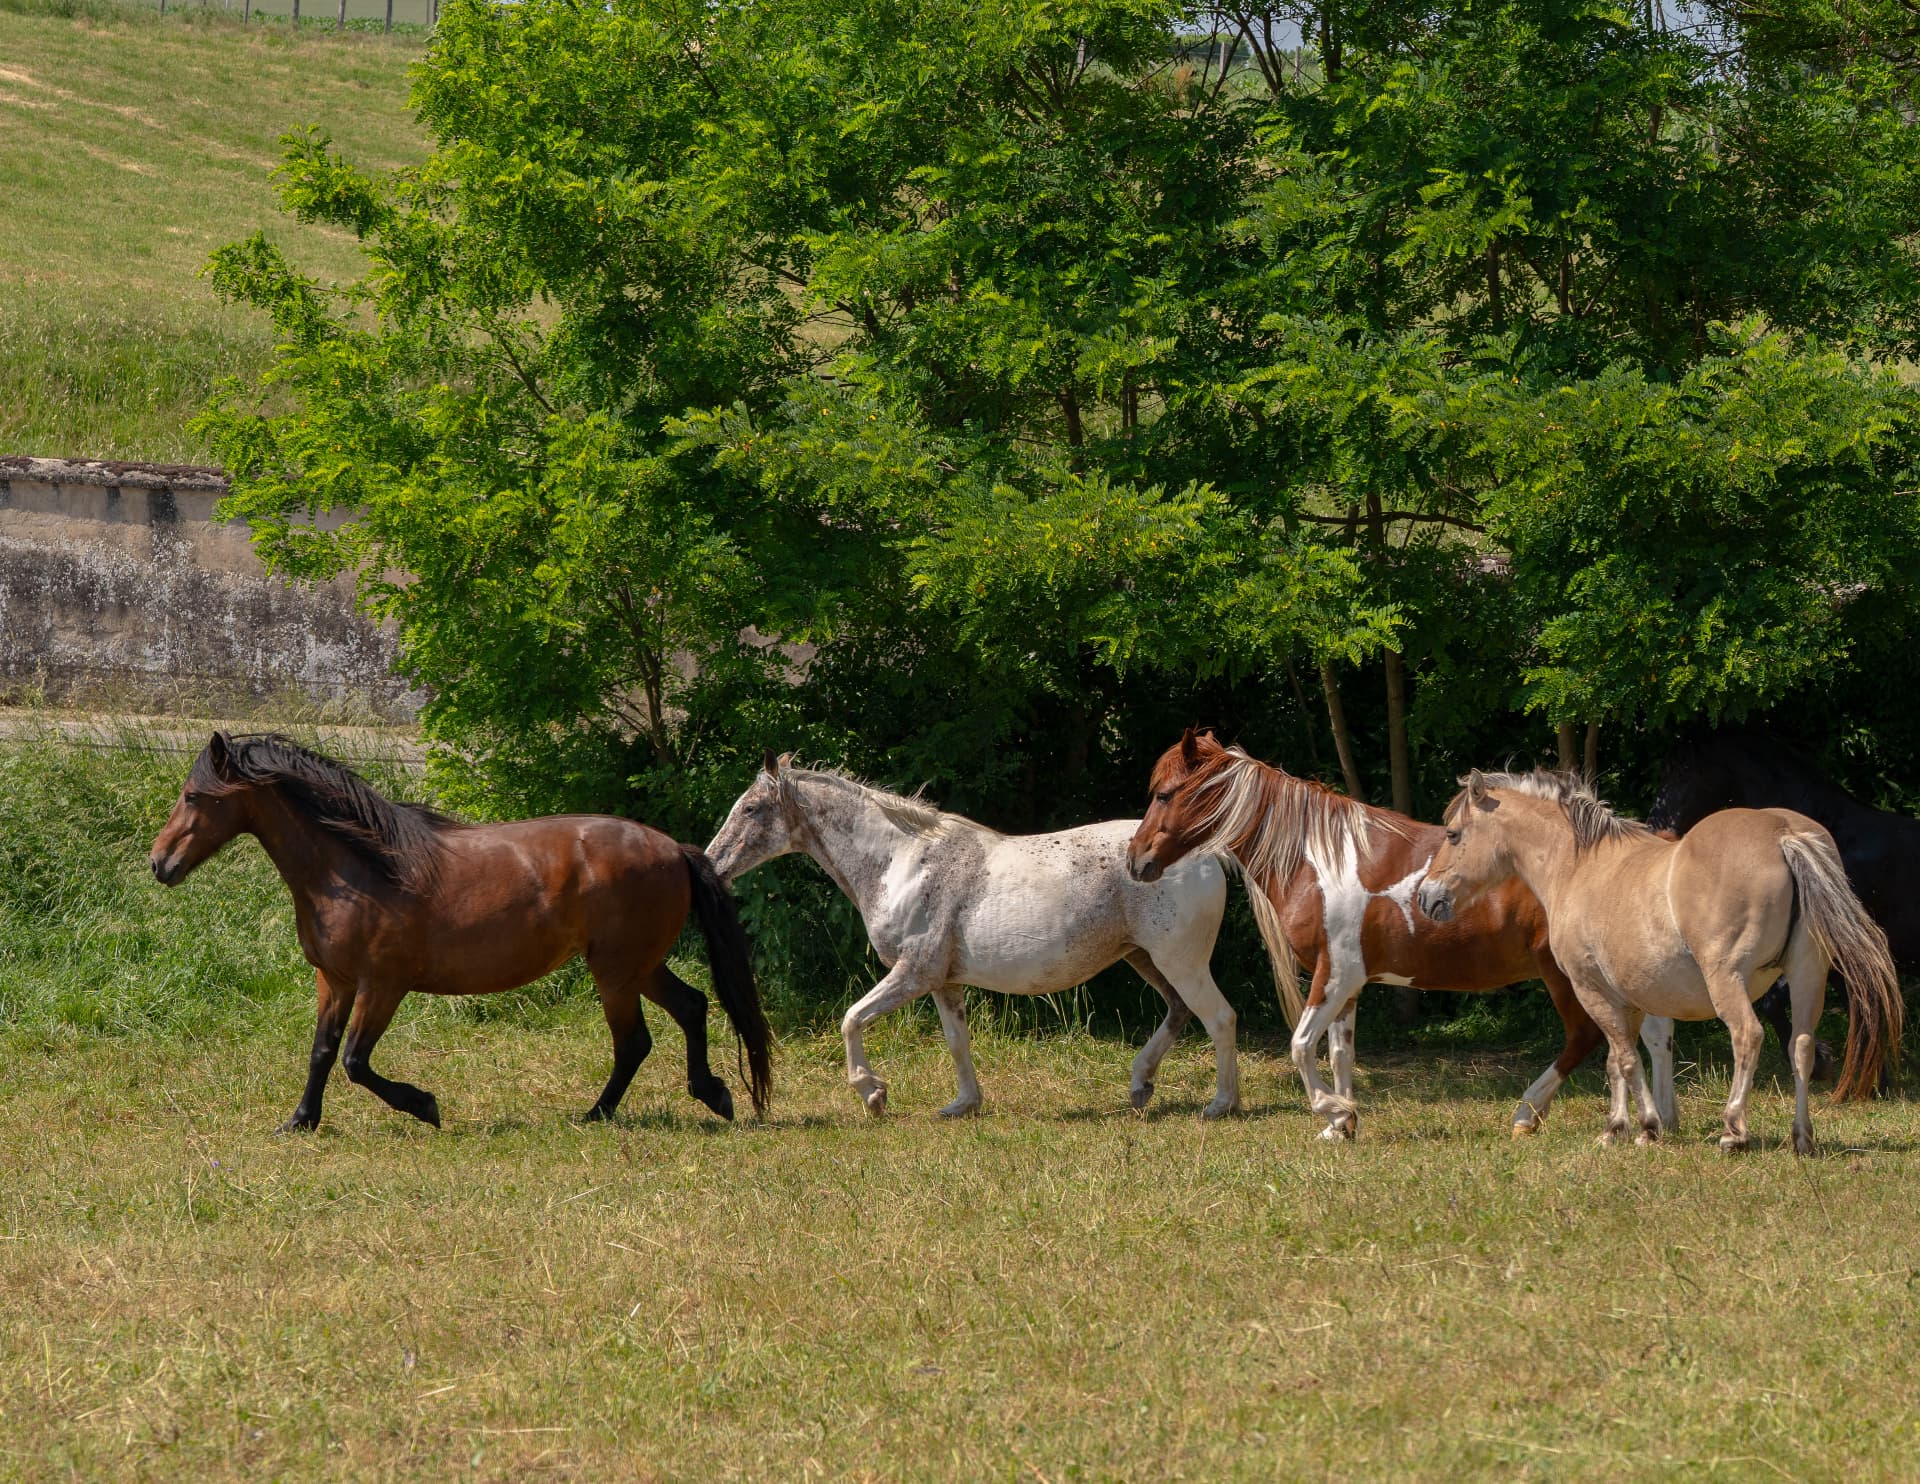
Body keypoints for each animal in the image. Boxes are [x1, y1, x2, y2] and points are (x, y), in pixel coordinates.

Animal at [148, 732, 772, 1131]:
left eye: (193, 796)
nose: (160, 864)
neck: (356, 868)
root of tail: (673, 848)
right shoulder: (336, 981)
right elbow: (322, 1053)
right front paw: (299, 1122)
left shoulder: (383, 985)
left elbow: (355, 1061)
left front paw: (425, 1106)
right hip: (637, 965)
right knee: (692, 1007)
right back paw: (714, 1095)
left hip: (615, 972)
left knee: (635, 1041)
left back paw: (597, 1115)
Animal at [704, 752, 1238, 1118]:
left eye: (751, 809)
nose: (711, 865)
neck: (902, 863)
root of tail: (1207, 853)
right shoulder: (944, 982)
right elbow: (957, 1041)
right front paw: (963, 1104)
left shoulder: (915, 973)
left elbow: (851, 1019)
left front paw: (873, 1093)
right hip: (1145, 958)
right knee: (1179, 1012)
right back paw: (1140, 1085)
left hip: (1180, 961)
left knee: (1219, 1018)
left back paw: (1220, 1104)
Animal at [1125, 730, 1676, 1140]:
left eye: (1164, 794)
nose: (1135, 860)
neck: (1319, 861)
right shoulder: (1347, 984)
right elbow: (1340, 1052)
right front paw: (1342, 1124)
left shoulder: (1335, 975)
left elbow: (1301, 1046)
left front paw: (1332, 1110)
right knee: (1644, 1035)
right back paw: (1652, 1121)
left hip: (1565, 976)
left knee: (1590, 1036)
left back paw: (1534, 1114)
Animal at [1419, 769, 1901, 1152]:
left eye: (1453, 834)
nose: (1426, 897)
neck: (1578, 866)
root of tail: (1783, 832)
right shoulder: (1628, 997)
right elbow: (1621, 1059)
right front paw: (1621, 1128)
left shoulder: (1592, 991)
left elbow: (1627, 1059)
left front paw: (1644, 1127)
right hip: (1807, 977)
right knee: (1800, 1046)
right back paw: (1802, 1138)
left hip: (1728, 981)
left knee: (1748, 1037)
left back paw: (1734, 1131)